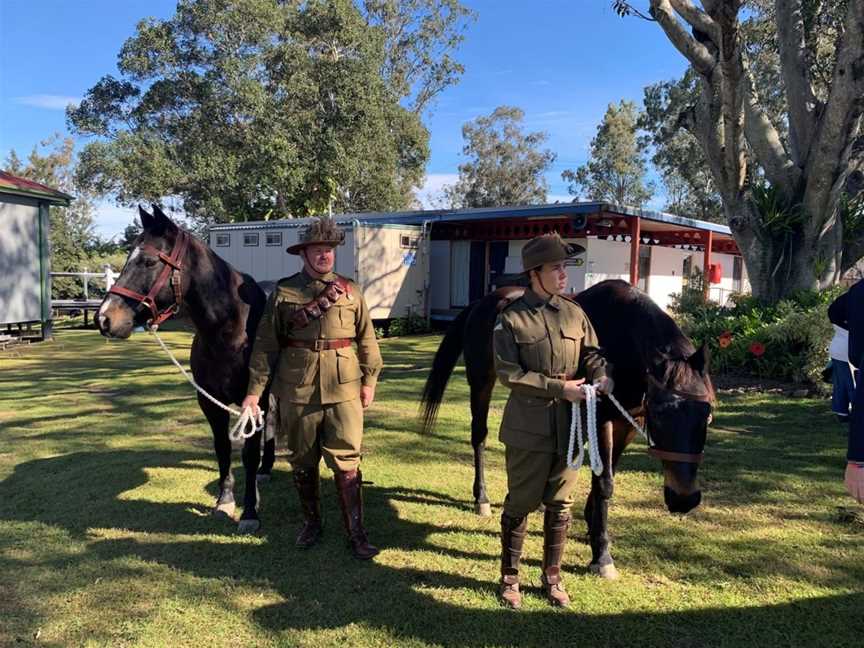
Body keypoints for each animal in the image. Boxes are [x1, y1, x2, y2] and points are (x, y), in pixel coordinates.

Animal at [97, 206, 276, 532]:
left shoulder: (252, 401)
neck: (231, 331)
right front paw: (225, 502)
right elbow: (222, 448)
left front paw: (250, 511)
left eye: (149, 261)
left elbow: (247, 453)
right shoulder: (209, 402)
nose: (104, 319)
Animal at [422, 278, 712, 576]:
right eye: (659, 416)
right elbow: (604, 483)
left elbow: (606, 476)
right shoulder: (603, 418)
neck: (624, 343)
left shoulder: (627, 423)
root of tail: (482, 303)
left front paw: (592, 527)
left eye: (708, 414)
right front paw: (602, 555)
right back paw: (481, 499)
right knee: (479, 436)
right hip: (481, 382)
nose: (684, 500)